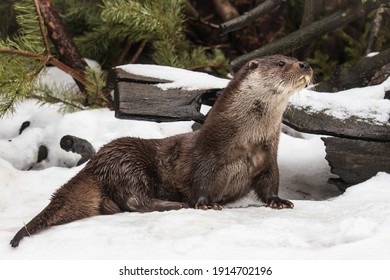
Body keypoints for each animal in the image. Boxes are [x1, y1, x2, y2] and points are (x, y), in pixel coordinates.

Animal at [10, 54, 312, 247]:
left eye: (295, 57)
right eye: (282, 63)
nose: (305, 64)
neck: (244, 140)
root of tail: (95, 164)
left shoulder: (267, 159)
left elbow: (269, 185)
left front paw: (278, 201)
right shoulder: (206, 158)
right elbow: (201, 182)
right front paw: (205, 203)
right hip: (129, 161)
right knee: (136, 201)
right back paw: (174, 204)